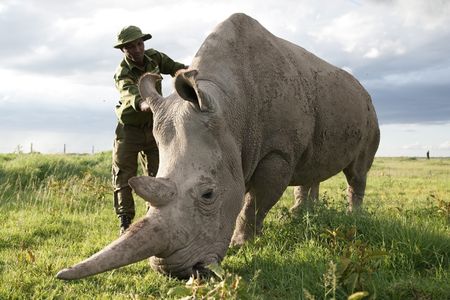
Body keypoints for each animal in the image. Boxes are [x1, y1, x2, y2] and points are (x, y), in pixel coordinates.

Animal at [56, 12, 380, 280]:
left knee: (357, 171)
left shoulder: (277, 153)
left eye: (208, 194)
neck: (230, 109)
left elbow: (254, 202)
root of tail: (363, 88)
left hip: (368, 109)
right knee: (310, 168)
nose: (176, 272)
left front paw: (241, 244)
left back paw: (354, 217)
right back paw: (300, 217)